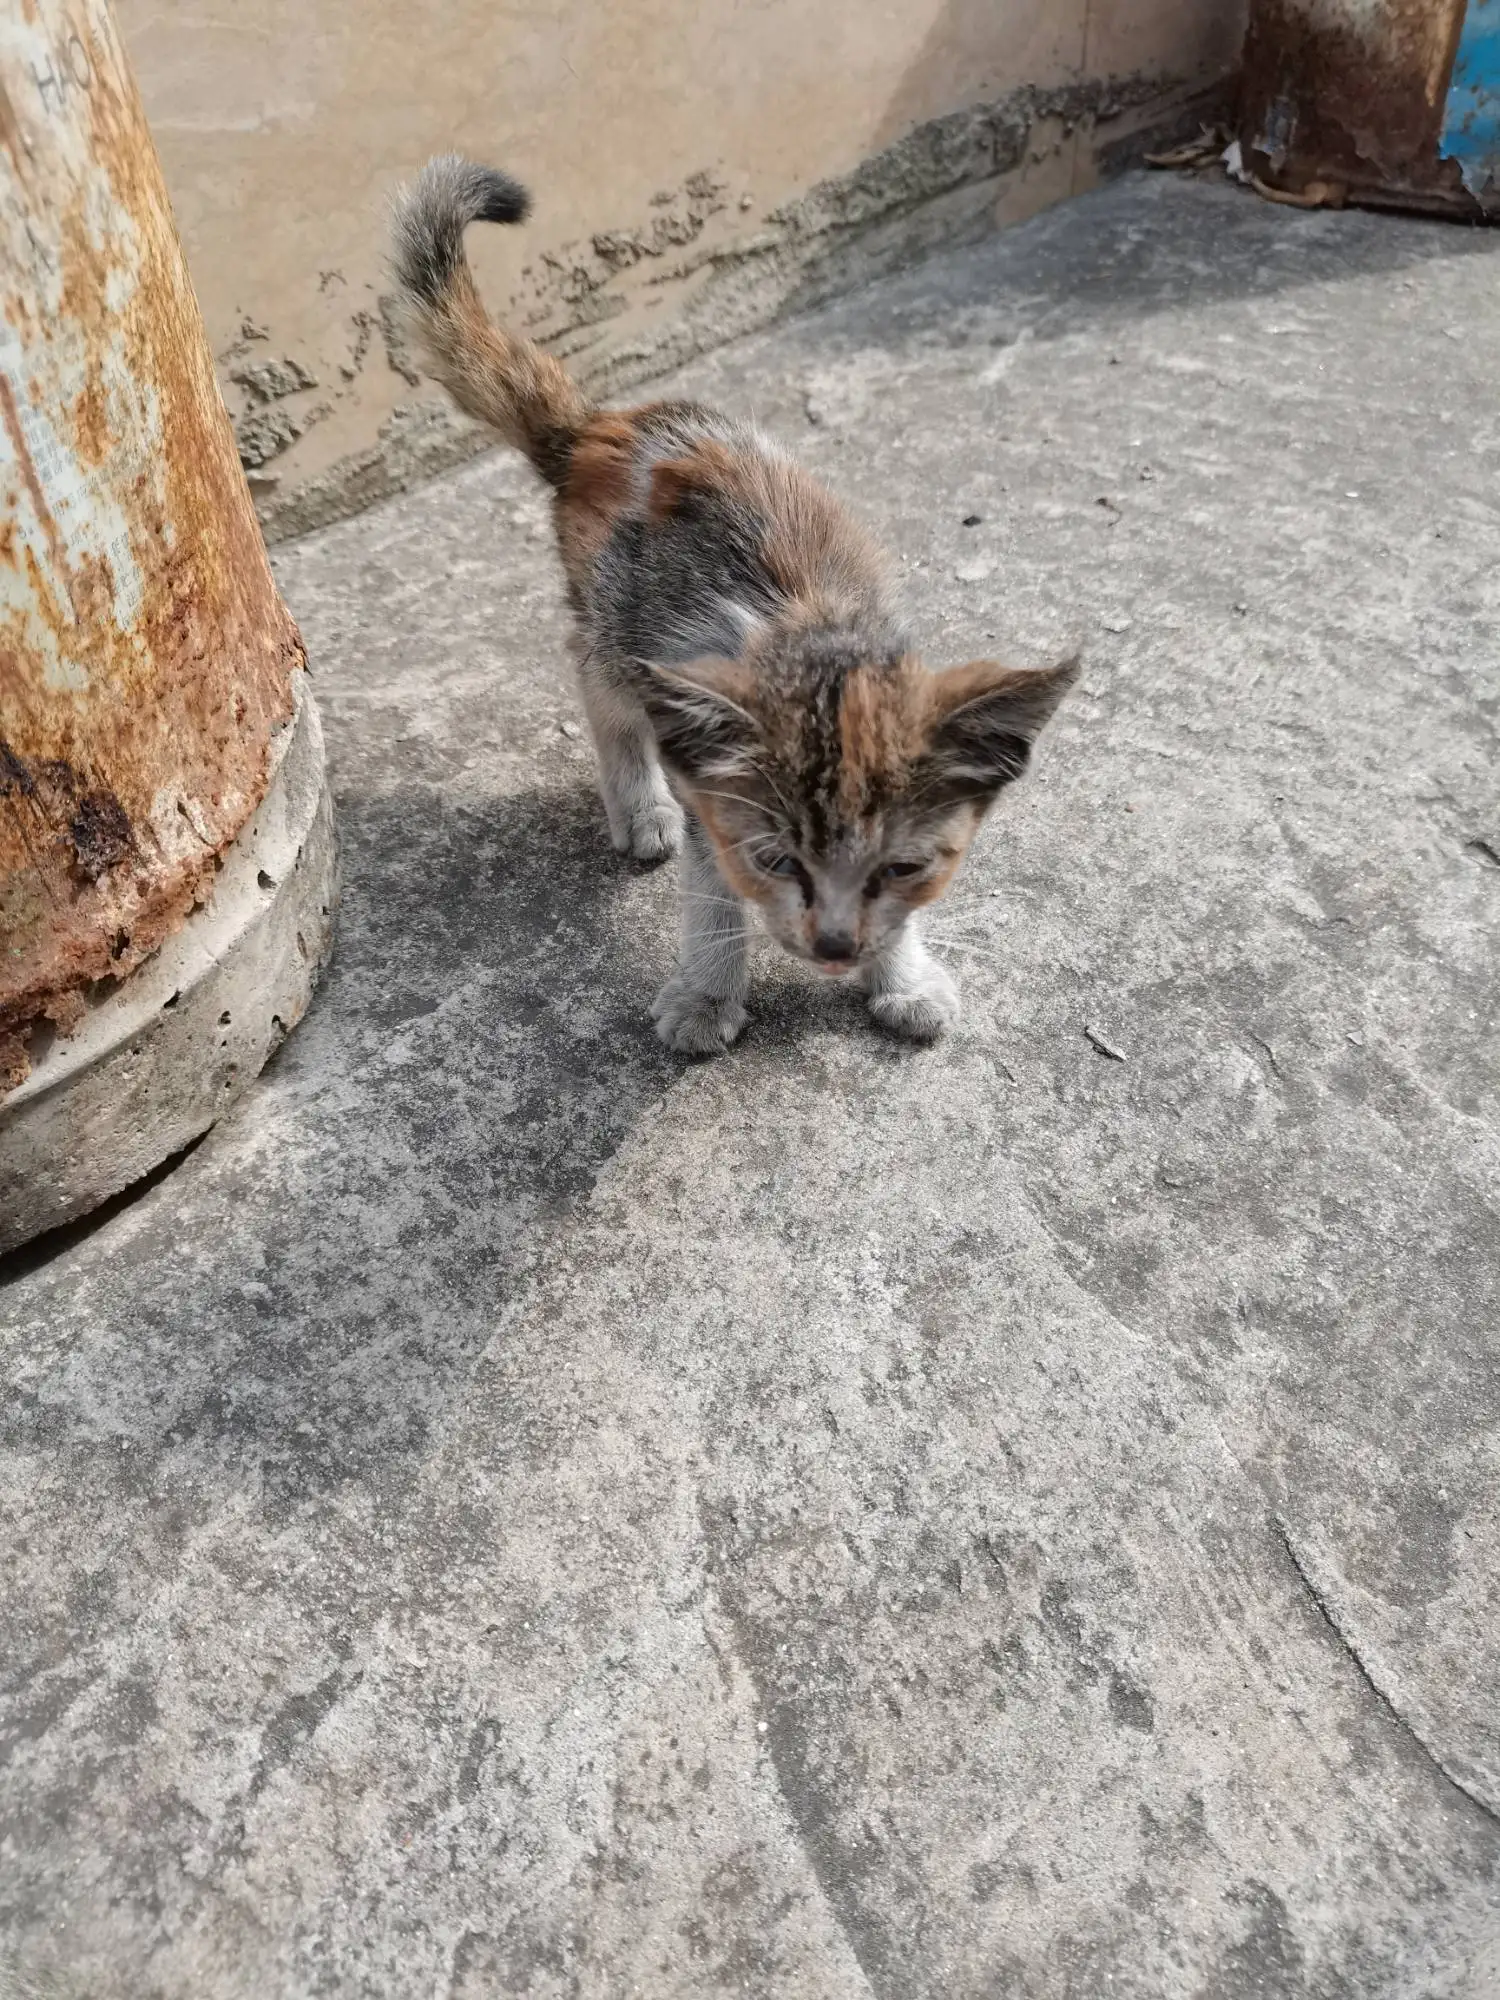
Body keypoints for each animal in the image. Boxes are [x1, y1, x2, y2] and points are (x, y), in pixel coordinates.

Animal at [382, 156, 1072, 1056]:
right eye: (778, 862)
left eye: (899, 869)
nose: (836, 946)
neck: (817, 635)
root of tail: (601, 426)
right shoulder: (712, 794)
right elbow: (711, 895)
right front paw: (708, 996)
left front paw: (904, 976)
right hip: (614, 625)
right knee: (599, 690)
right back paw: (640, 804)